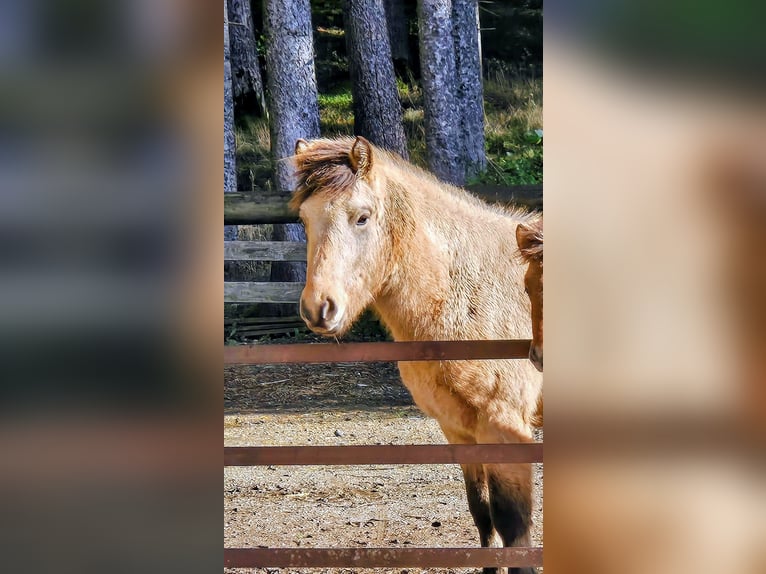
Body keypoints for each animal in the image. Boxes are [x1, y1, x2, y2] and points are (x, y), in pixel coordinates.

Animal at [291, 136, 543, 574]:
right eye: (305, 220)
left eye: (362, 218)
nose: (319, 308)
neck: (465, 289)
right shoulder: (458, 429)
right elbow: (483, 514)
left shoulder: (505, 426)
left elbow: (514, 525)